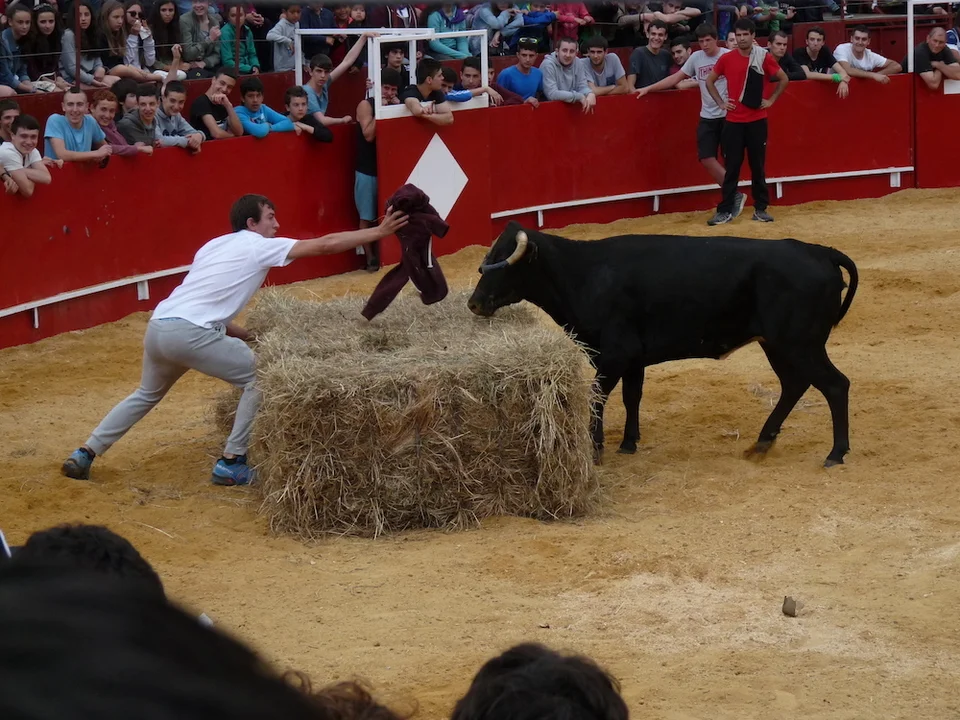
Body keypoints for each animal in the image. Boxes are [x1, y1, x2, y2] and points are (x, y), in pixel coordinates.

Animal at [467, 222, 859, 468]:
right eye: (485, 263)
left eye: (504, 265)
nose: (474, 303)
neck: (585, 273)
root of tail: (820, 252)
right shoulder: (633, 360)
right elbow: (632, 396)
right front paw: (628, 443)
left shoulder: (614, 355)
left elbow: (598, 397)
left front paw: (597, 449)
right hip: (779, 345)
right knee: (795, 384)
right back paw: (762, 442)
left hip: (799, 344)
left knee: (835, 385)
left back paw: (835, 453)